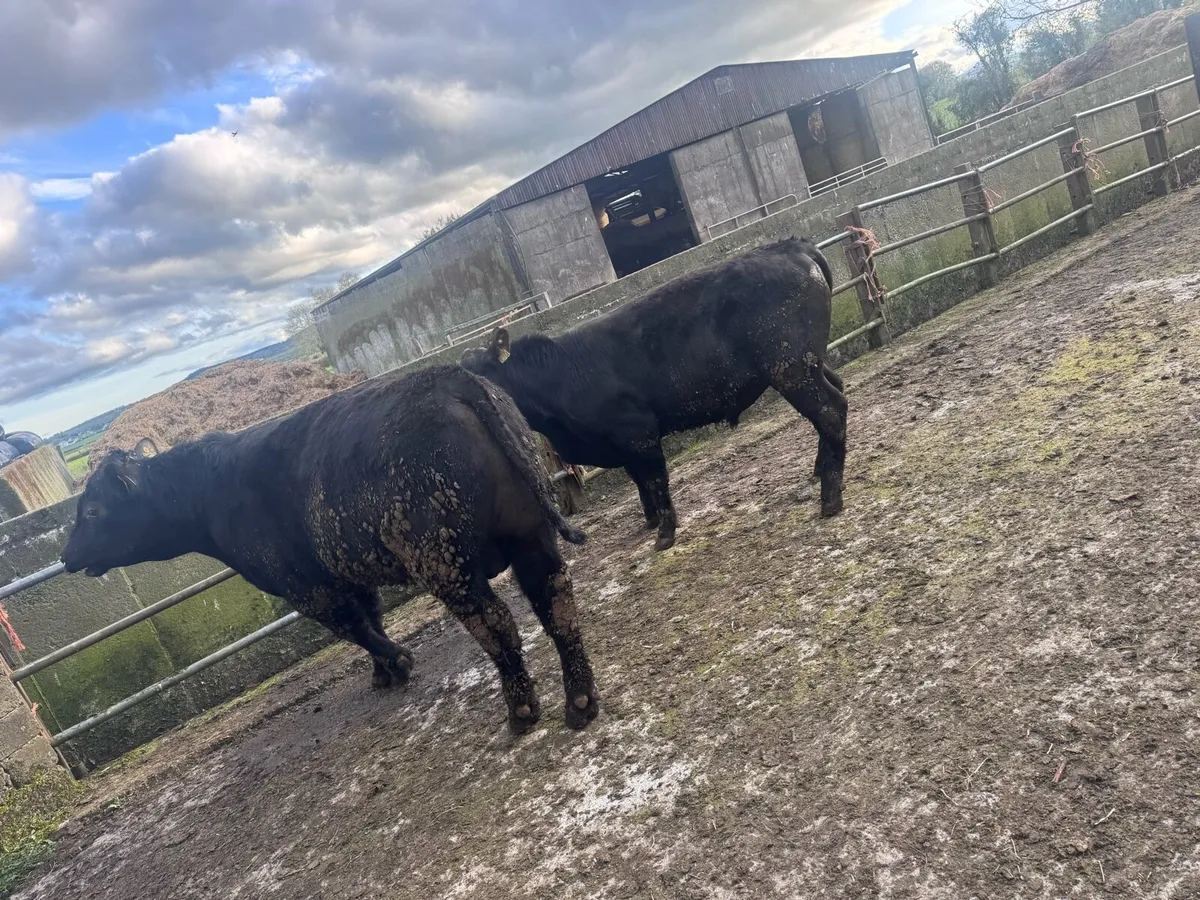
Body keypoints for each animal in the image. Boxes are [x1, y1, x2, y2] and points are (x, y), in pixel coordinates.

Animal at [60, 365, 600, 735]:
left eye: (93, 510)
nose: (66, 557)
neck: (210, 489)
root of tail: (450, 376)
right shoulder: (346, 572)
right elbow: (371, 615)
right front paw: (384, 674)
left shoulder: (307, 587)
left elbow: (355, 628)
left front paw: (398, 663)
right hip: (530, 534)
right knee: (556, 601)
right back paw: (579, 703)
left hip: (443, 560)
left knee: (496, 622)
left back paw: (522, 712)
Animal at [461, 236, 847, 552]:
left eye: (479, 375)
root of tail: (790, 246)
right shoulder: (620, 441)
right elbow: (638, 480)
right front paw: (649, 522)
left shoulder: (638, 431)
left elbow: (655, 480)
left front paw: (664, 534)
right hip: (809, 363)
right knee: (836, 394)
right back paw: (819, 470)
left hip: (790, 369)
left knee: (831, 410)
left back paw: (830, 499)